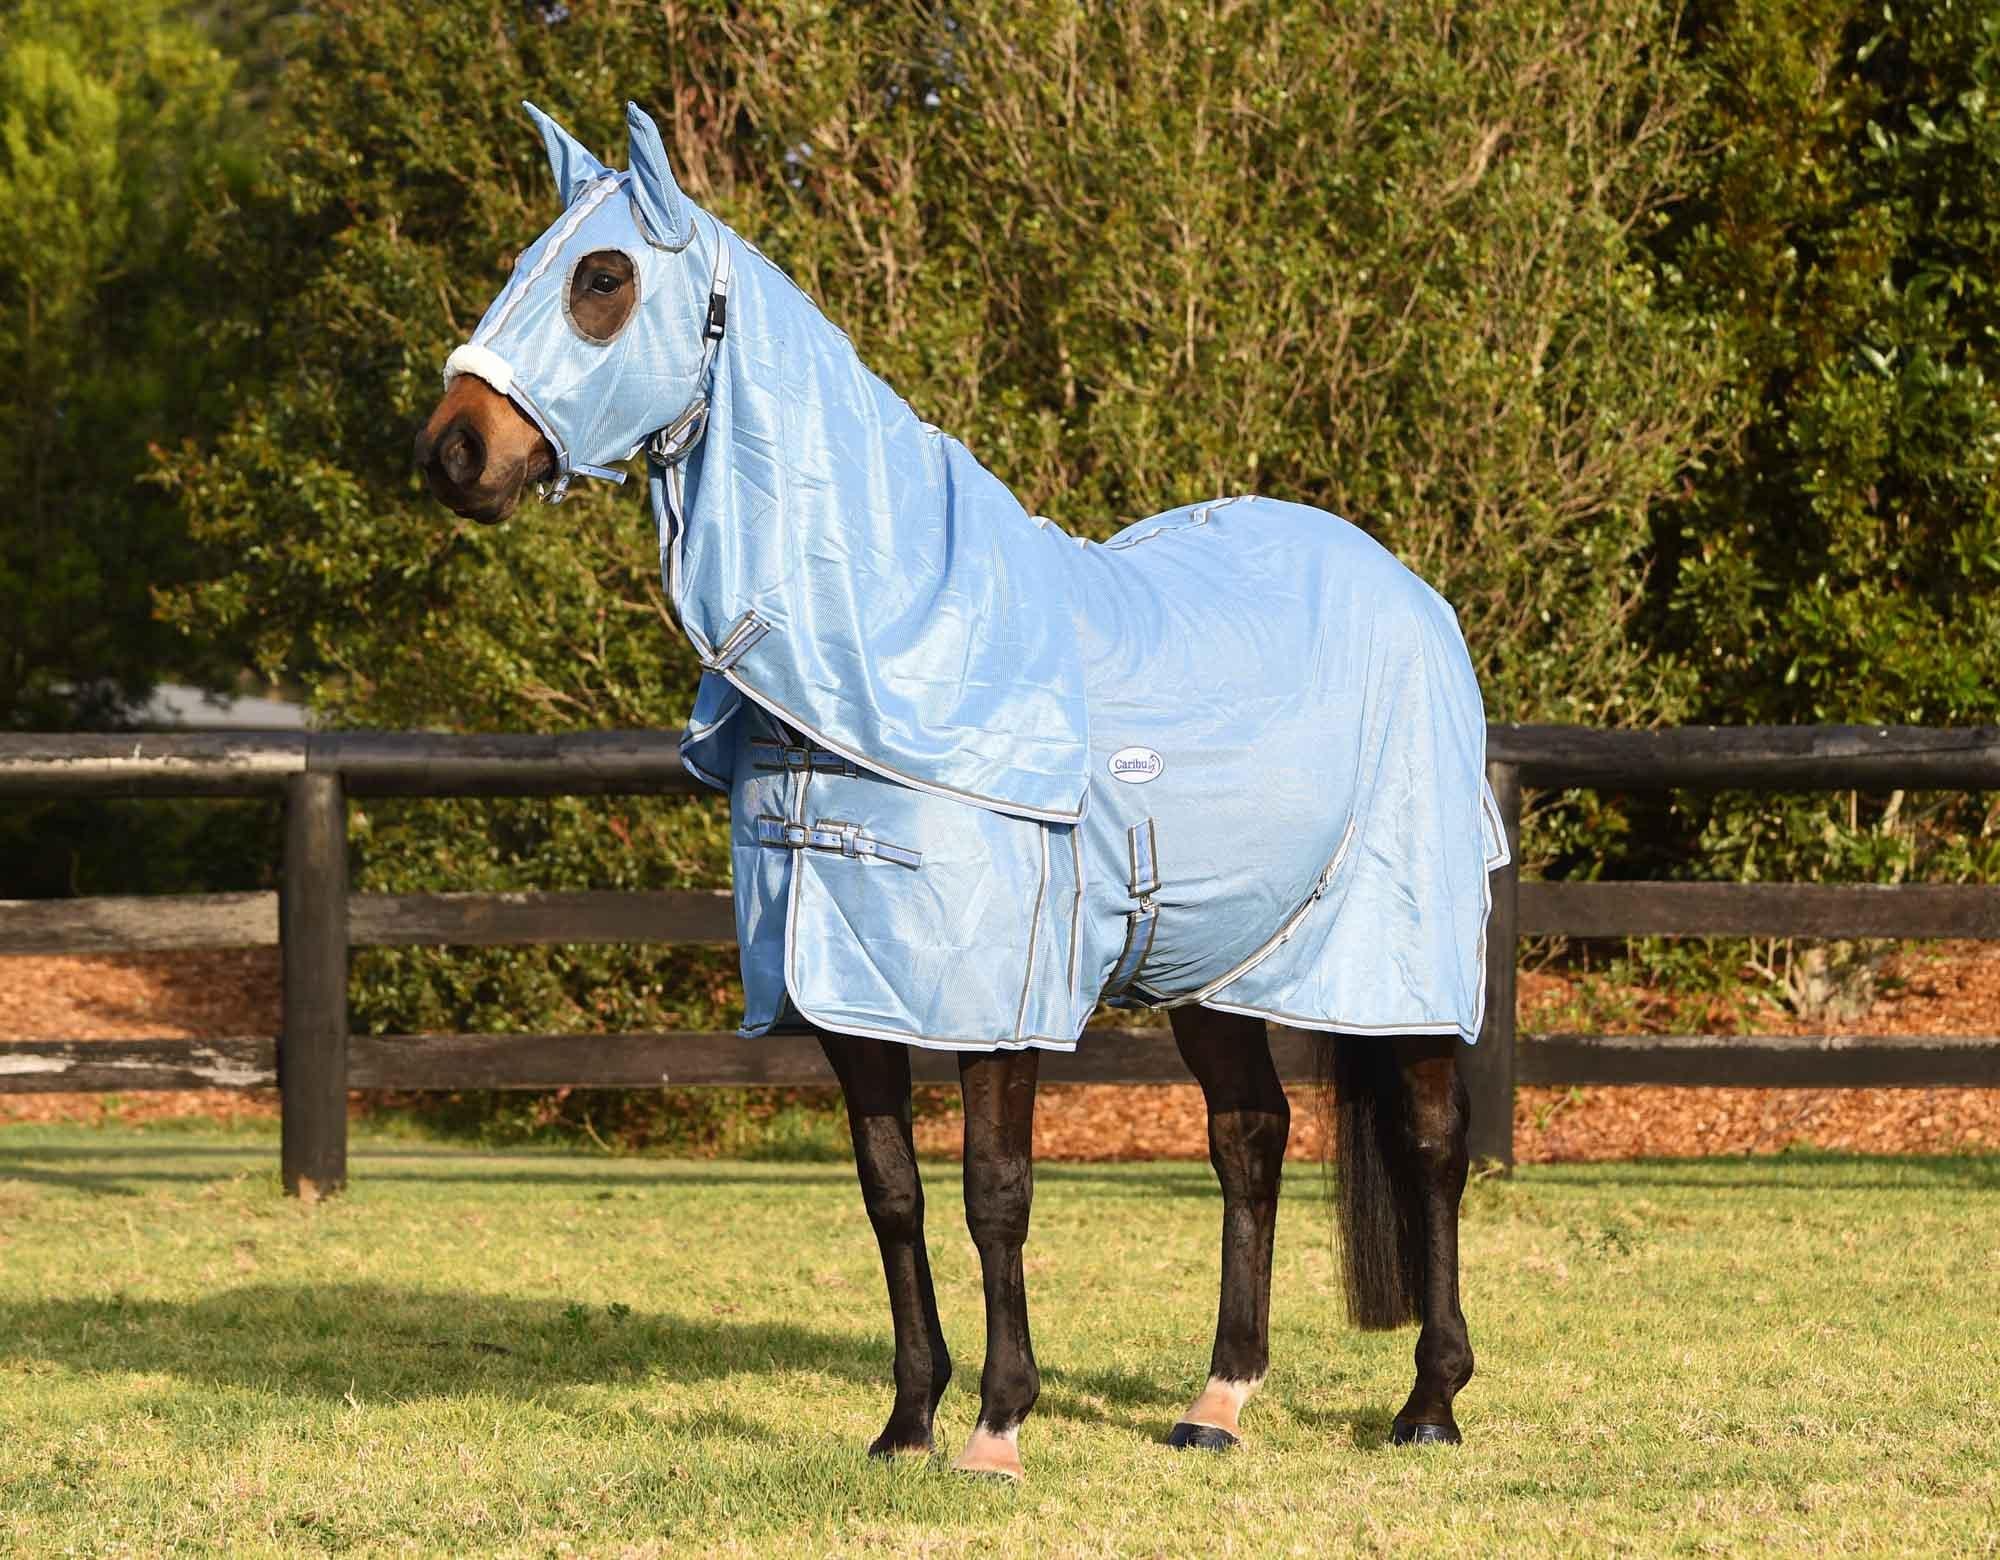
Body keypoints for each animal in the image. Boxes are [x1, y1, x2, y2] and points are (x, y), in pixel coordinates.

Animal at [415, 100, 1507, 1481]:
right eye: (524, 263)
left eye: (600, 279)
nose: (452, 452)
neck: (900, 636)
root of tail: (1402, 585)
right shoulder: (839, 988)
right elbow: (892, 1195)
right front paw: (905, 1423)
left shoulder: (1000, 990)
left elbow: (995, 1191)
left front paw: (996, 1428)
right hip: (1203, 958)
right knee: (1248, 1140)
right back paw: (1217, 1401)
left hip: (1395, 945)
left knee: (1429, 1145)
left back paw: (1429, 1402)